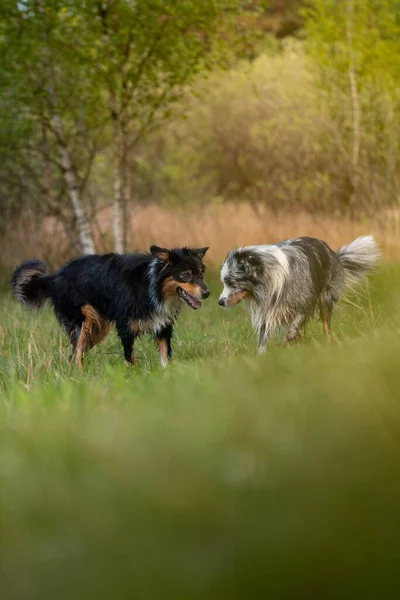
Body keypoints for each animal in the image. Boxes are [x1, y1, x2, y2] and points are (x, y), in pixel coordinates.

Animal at [10, 246, 209, 368]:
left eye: (200, 274)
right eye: (185, 275)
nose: (207, 293)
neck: (153, 286)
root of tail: (54, 277)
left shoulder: (163, 326)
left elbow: (165, 355)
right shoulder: (126, 327)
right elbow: (130, 357)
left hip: (98, 328)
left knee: (76, 353)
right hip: (83, 321)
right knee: (76, 353)